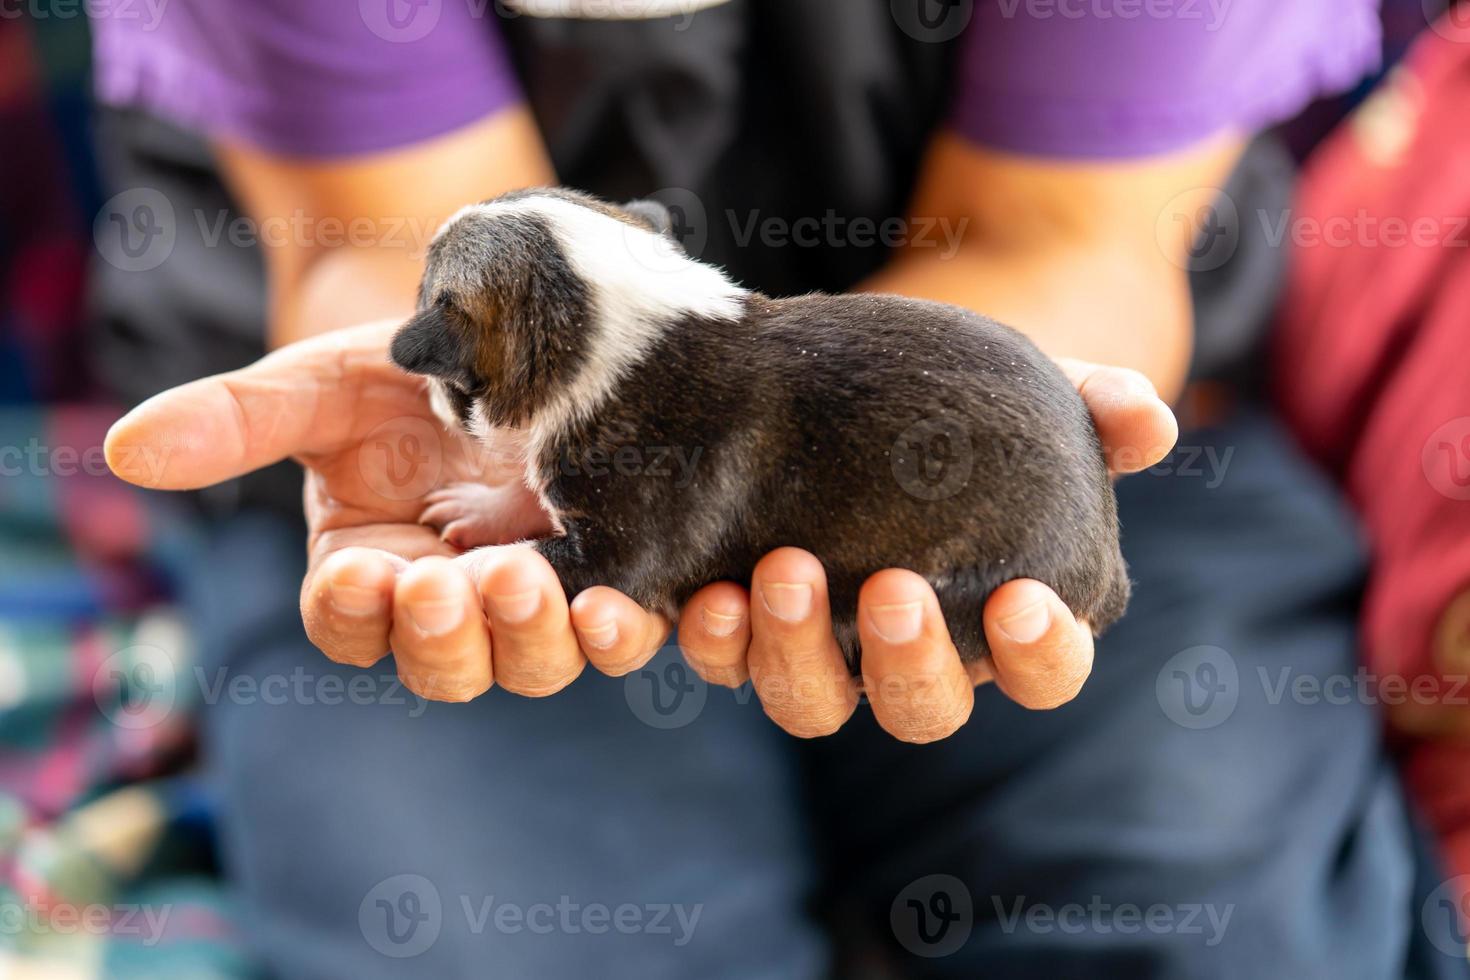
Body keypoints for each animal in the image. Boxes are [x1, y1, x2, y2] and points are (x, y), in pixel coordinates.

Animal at [388, 188, 1123, 669]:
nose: (427, 402)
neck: (599, 329)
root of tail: (1107, 566)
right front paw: (484, 506)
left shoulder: (622, 546)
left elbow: (536, 556)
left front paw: (465, 566)